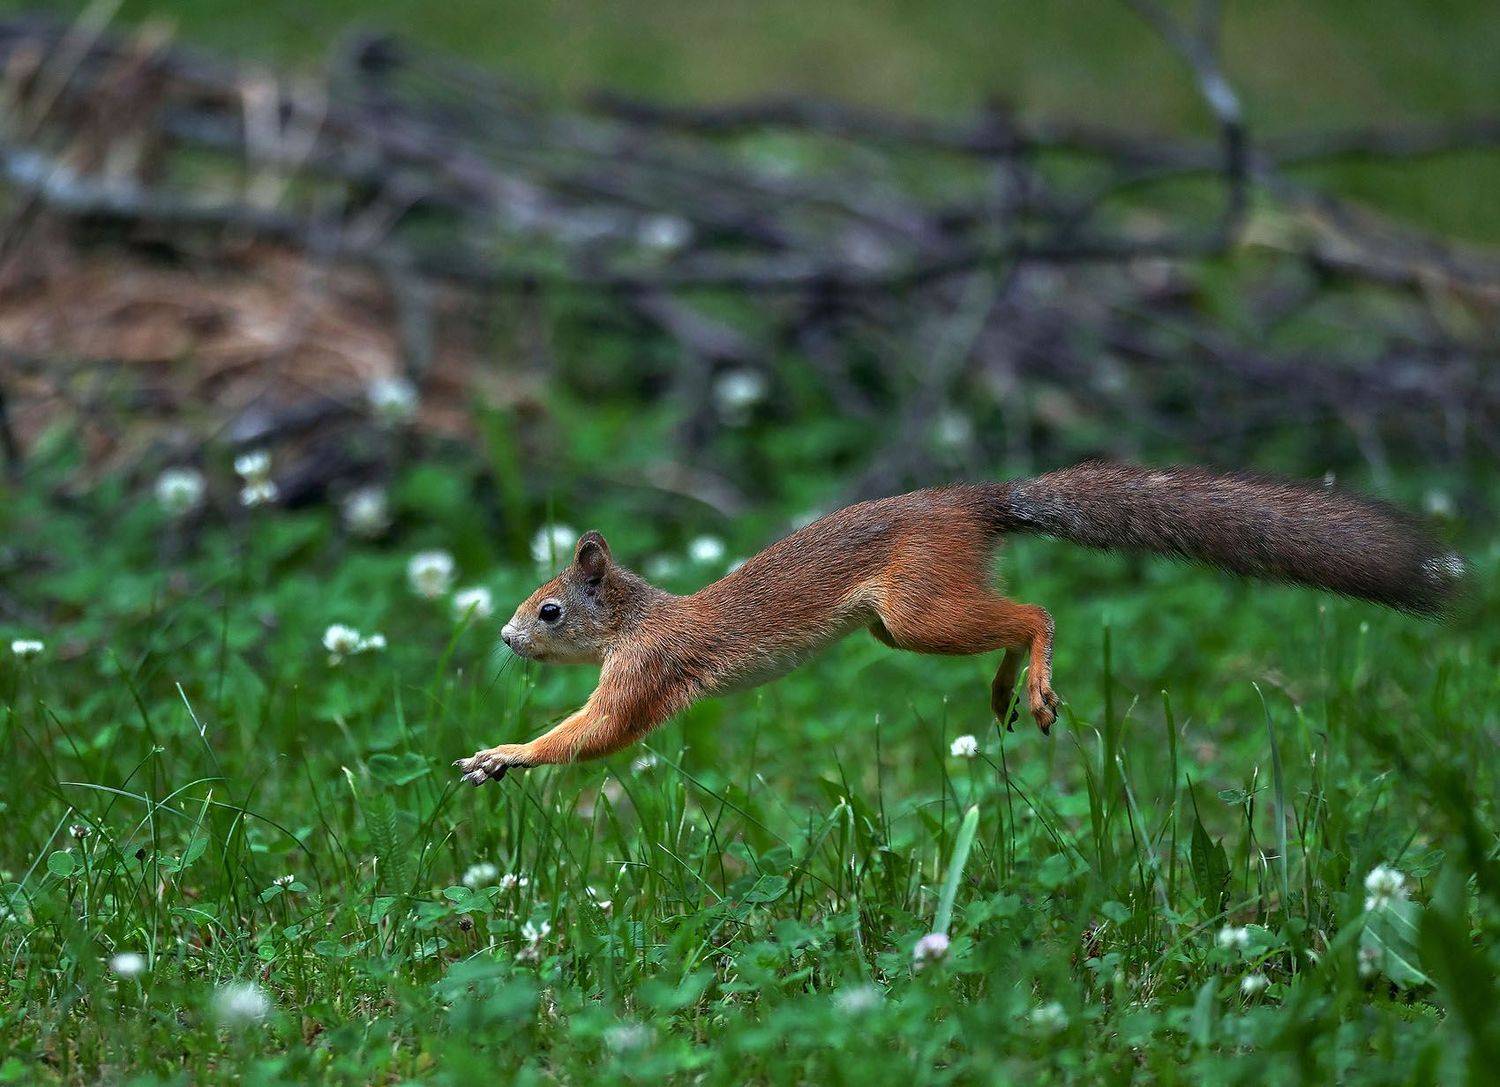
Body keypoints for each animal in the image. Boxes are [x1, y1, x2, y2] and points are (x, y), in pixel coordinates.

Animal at [454, 461, 1462, 785]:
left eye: (550, 608)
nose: (504, 639)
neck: (638, 616)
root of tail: (976, 502)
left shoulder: (647, 668)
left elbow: (598, 732)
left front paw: (504, 755)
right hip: (902, 623)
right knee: (1011, 621)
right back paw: (1006, 686)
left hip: (915, 606)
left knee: (1036, 610)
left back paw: (1037, 682)